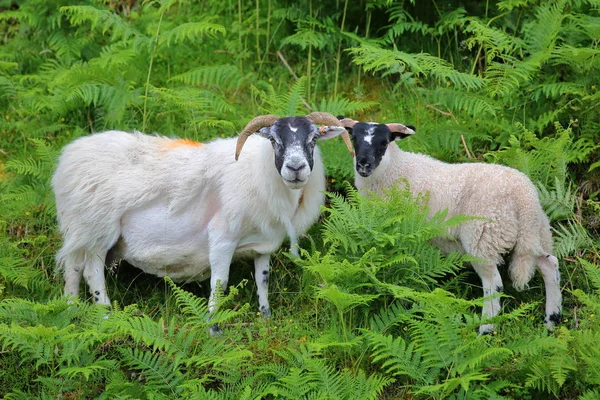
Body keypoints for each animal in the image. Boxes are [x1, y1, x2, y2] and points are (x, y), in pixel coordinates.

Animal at [52, 111, 352, 332]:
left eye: (314, 138)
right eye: (275, 141)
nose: (296, 168)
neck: (258, 171)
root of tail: (69, 157)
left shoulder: (263, 243)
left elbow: (263, 278)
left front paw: (265, 316)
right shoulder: (222, 237)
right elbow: (220, 282)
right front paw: (213, 326)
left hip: (79, 229)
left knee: (73, 269)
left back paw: (70, 308)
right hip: (97, 229)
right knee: (91, 272)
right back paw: (104, 316)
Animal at [338, 119, 564, 334]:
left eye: (384, 142)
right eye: (354, 138)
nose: (364, 165)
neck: (395, 169)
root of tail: (524, 196)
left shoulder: (403, 234)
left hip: (483, 237)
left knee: (494, 284)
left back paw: (486, 329)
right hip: (535, 232)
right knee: (549, 265)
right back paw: (551, 321)